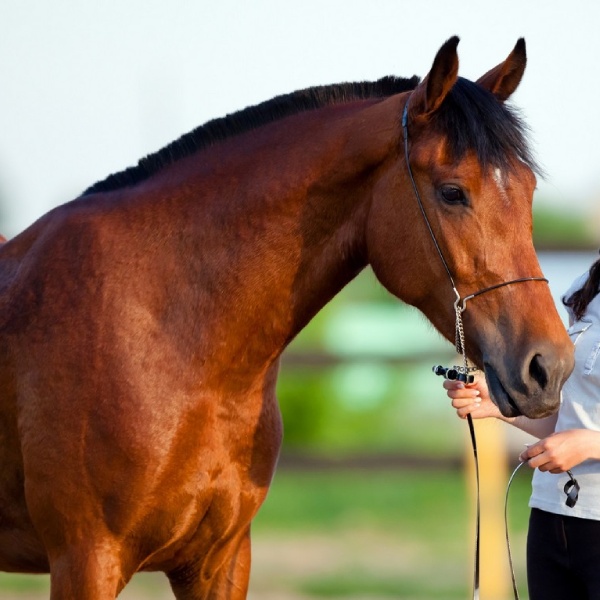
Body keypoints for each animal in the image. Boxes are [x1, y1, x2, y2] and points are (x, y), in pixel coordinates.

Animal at [0, 38, 572, 600]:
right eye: (453, 192)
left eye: (528, 190)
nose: (549, 367)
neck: (167, 334)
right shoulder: (86, 561)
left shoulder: (220, 561)